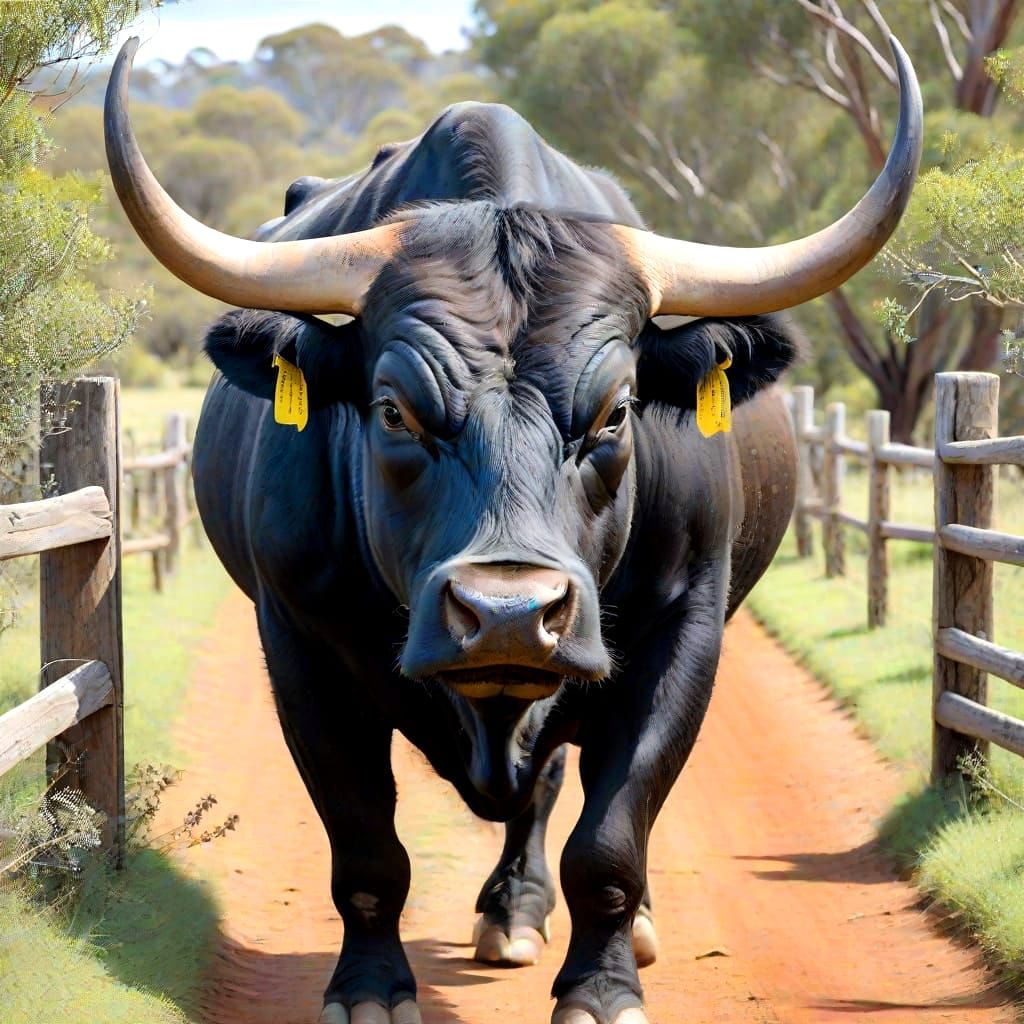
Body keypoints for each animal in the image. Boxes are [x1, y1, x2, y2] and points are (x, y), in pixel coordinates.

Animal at [105, 36, 922, 1024]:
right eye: (393, 410)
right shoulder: (299, 644)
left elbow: (610, 838)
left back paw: (549, 913)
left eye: (616, 412)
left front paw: (602, 988)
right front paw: (369, 988)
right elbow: (365, 845)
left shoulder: (682, 633)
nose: (507, 616)